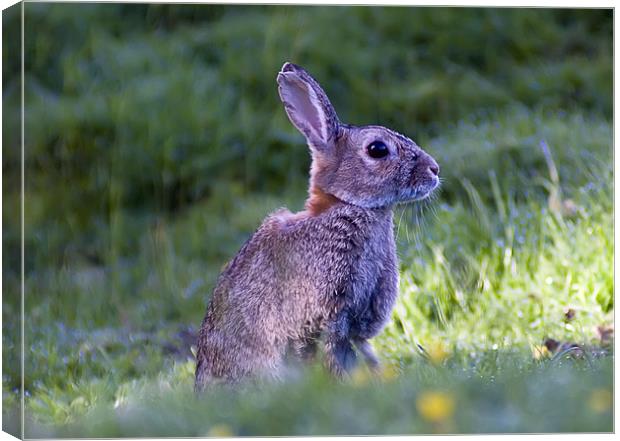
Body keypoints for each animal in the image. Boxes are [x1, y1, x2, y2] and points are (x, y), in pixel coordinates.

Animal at [195, 62, 440, 388]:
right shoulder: (326, 316)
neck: (346, 205)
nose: (434, 169)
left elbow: (363, 352)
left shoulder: (356, 323)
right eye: (377, 149)